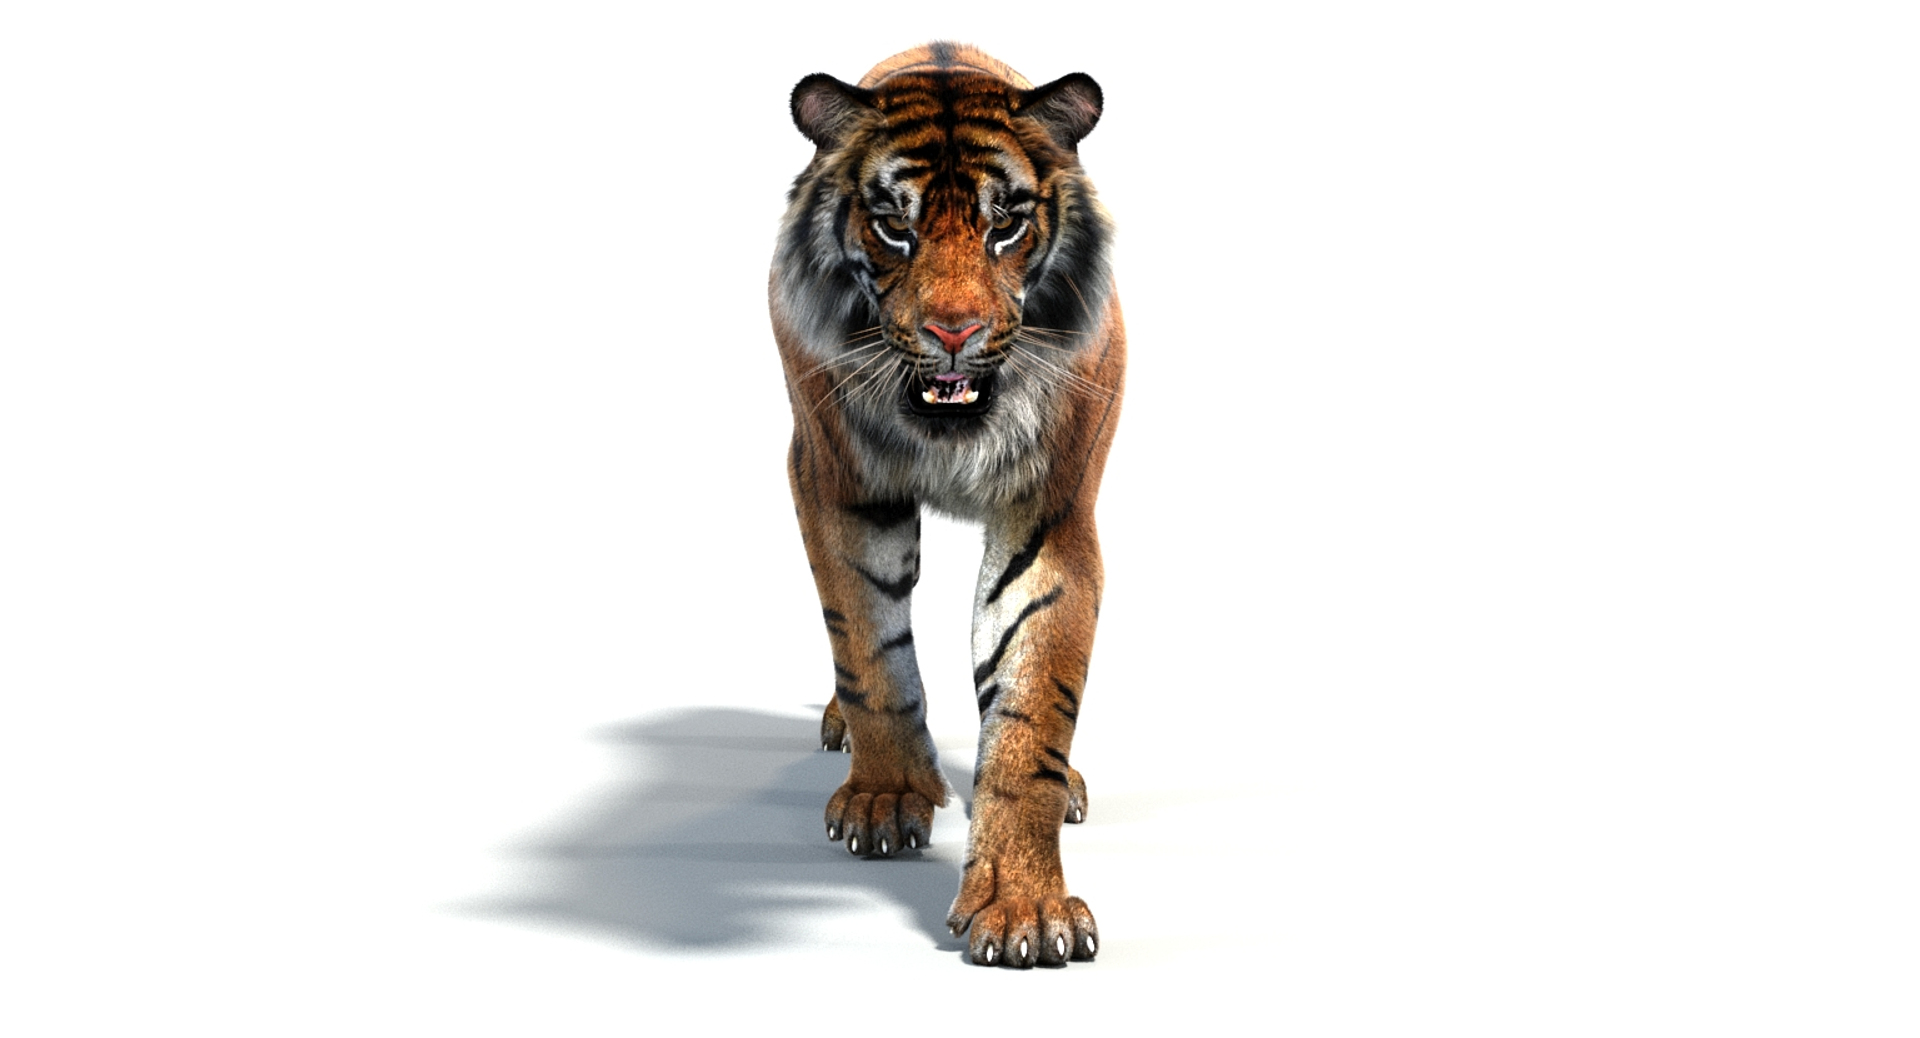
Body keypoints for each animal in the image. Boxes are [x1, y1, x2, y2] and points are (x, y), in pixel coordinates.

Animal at [770, 42, 1124, 968]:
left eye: (1007, 225)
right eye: (894, 225)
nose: (954, 332)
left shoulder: (1050, 514)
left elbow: (1032, 709)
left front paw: (1024, 906)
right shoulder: (836, 480)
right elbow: (867, 646)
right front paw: (887, 796)